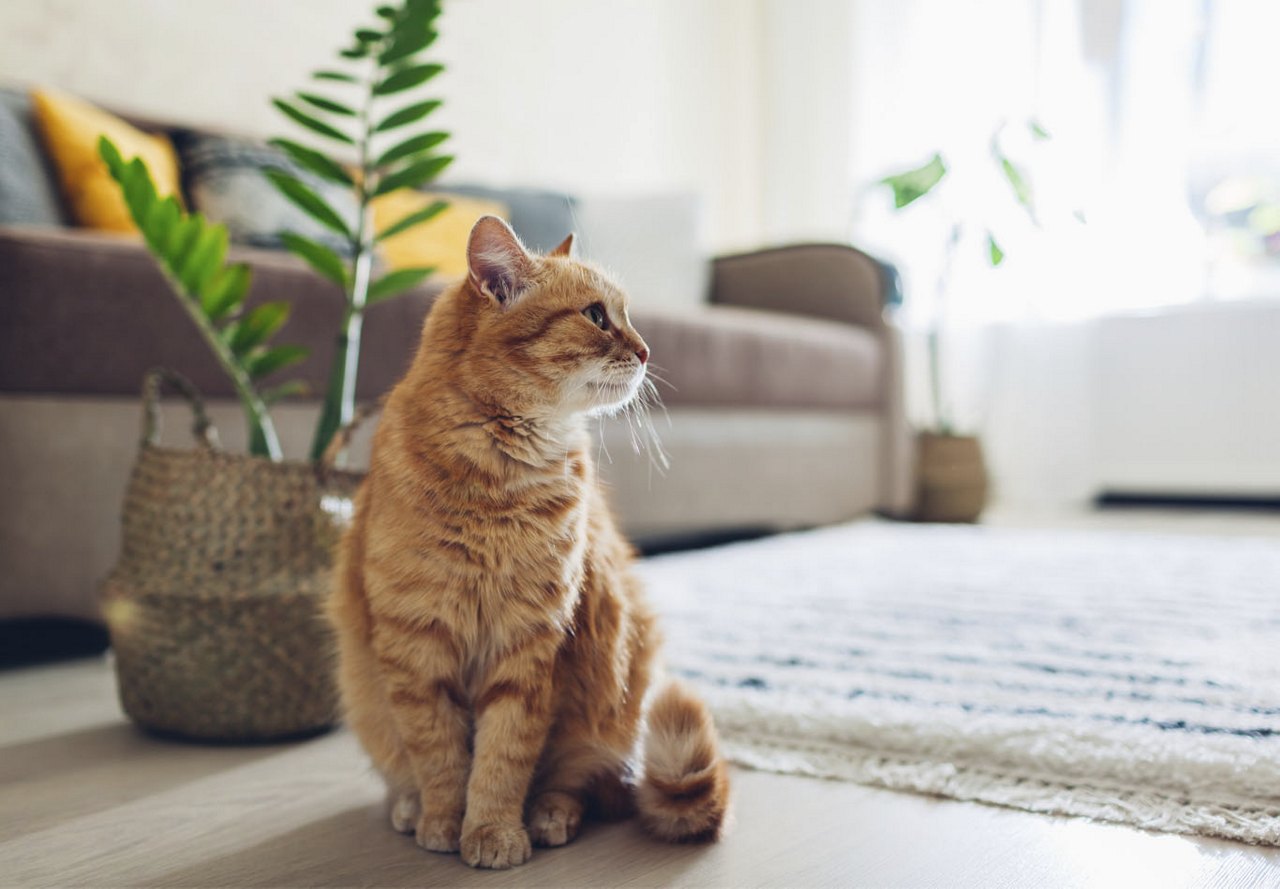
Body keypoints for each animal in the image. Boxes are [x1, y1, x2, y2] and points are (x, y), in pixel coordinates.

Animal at [325, 216, 732, 869]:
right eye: (596, 316)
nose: (647, 351)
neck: (497, 483)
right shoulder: (416, 649)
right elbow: (439, 757)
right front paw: (444, 821)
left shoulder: (531, 645)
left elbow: (502, 758)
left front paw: (492, 831)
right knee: (403, 767)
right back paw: (409, 807)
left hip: (616, 687)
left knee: (580, 781)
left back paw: (548, 815)